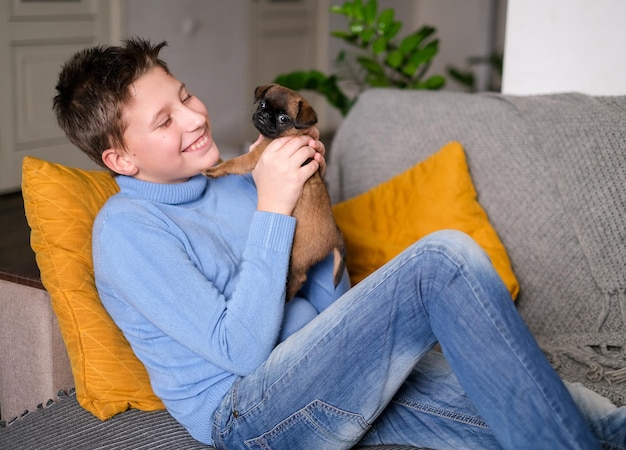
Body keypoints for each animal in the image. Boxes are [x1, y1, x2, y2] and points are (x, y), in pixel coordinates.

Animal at [202, 84, 344, 302]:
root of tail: (335, 236)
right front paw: (215, 161)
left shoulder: (253, 157)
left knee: (300, 277)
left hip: (297, 255)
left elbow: (233, 162)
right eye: (263, 104)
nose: (265, 114)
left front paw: (214, 169)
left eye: (283, 118)